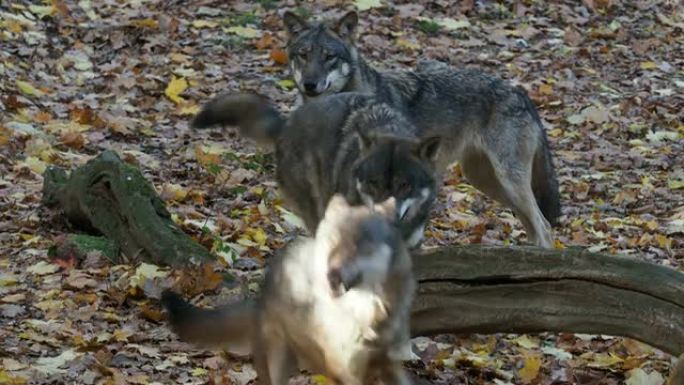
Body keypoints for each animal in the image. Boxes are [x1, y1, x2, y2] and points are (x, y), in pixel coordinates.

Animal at [163, 195, 414, 384]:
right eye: (333, 241)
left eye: (360, 244)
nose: (331, 274)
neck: (366, 313)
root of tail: (260, 296)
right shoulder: (348, 372)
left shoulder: (388, 365)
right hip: (278, 365)